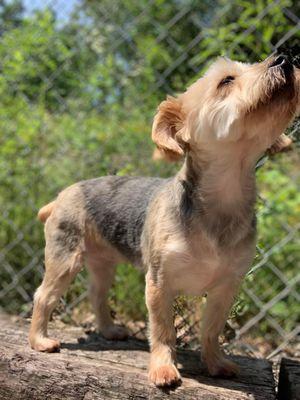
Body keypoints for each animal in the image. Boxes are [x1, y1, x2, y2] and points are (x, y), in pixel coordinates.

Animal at [28, 54, 298, 388]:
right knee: (44, 295)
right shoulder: (159, 282)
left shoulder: (226, 286)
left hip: (103, 262)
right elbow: (163, 330)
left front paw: (216, 363)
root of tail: (62, 195)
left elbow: (211, 330)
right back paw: (40, 340)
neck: (223, 198)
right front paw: (163, 369)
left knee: (97, 293)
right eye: (226, 80)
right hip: (65, 256)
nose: (285, 58)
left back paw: (109, 330)